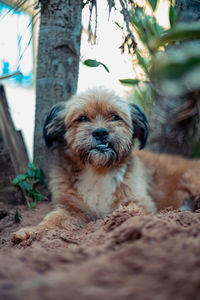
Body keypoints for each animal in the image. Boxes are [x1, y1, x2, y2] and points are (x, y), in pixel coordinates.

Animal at [11, 86, 200, 241]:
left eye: (115, 117)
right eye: (82, 118)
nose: (100, 132)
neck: (99, 170)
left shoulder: (141, 201)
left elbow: (131, 208)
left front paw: (120, 217)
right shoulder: (71, 208)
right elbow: (52, 219)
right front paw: (30, 232)